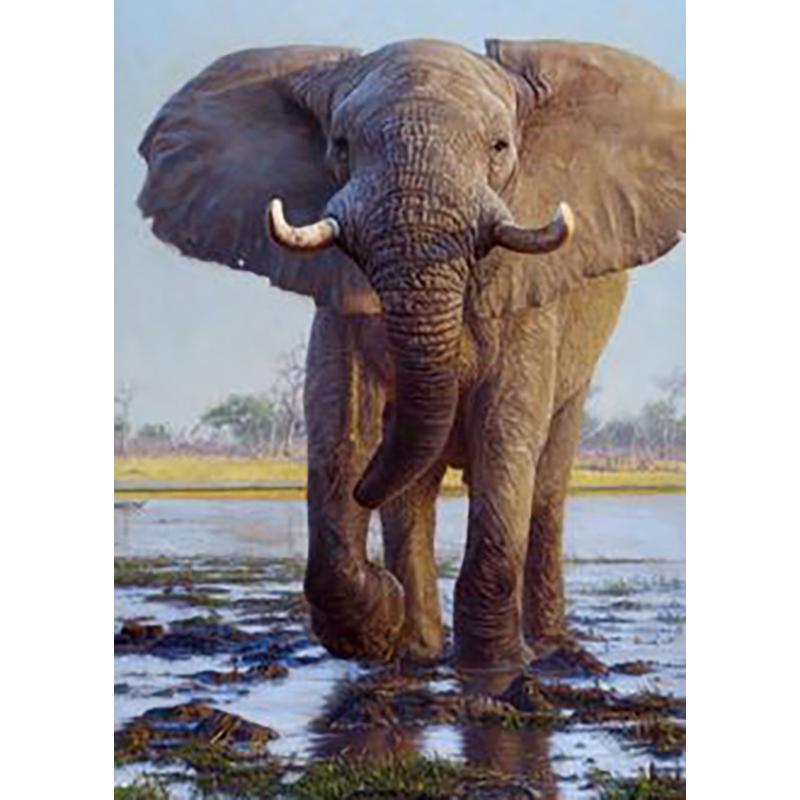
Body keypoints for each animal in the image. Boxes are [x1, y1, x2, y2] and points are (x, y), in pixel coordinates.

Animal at [137, 38, 684, 671]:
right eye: (340, 146)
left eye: (500, 147)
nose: (362, 490)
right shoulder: (340, 297)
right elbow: (341, 419)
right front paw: (381, 621)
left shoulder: (531, 293)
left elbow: (505, 429)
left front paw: (495, 670)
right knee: (413, 490)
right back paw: (419, 651)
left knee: (546, 482)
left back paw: (551, 652)